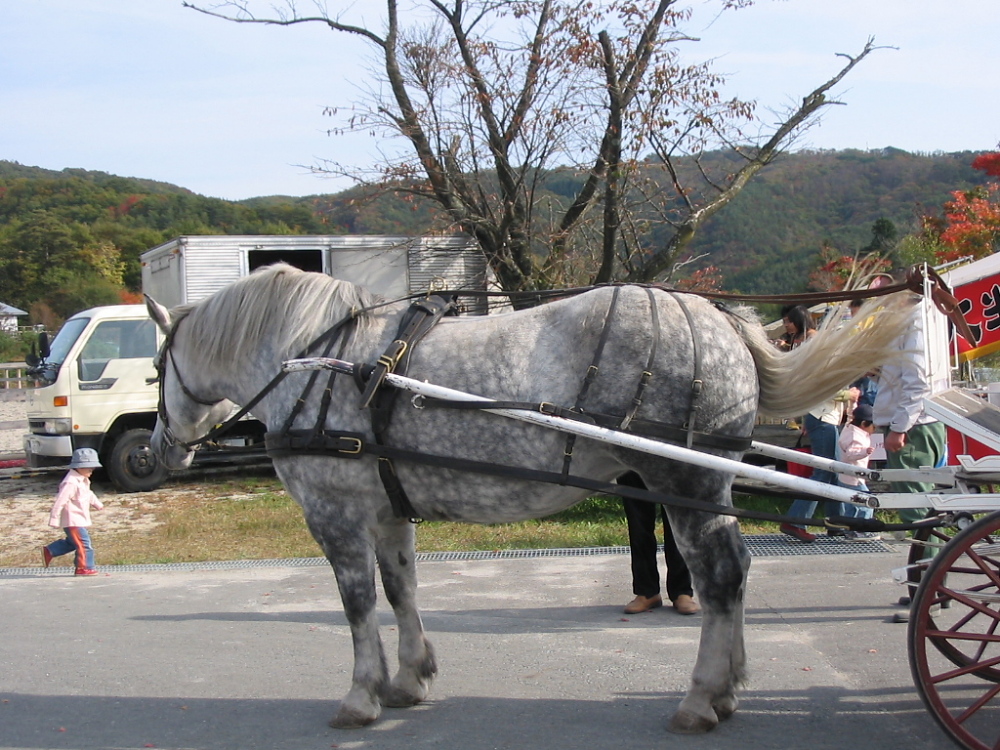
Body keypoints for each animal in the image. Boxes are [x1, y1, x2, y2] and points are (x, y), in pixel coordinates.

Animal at [148, 264, 916, 736]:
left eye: (157, 367)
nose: (160, 451)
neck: (316, 362)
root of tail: (716, 320)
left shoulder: (334, 515)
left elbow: (358, 605)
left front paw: (362, 694)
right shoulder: (390, 511)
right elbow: (401, 591)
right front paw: (410, 679)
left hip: (682, 484)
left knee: (719, 578)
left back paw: (701, 698)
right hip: (705, 486)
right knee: (734, 574)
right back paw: (726, 689)